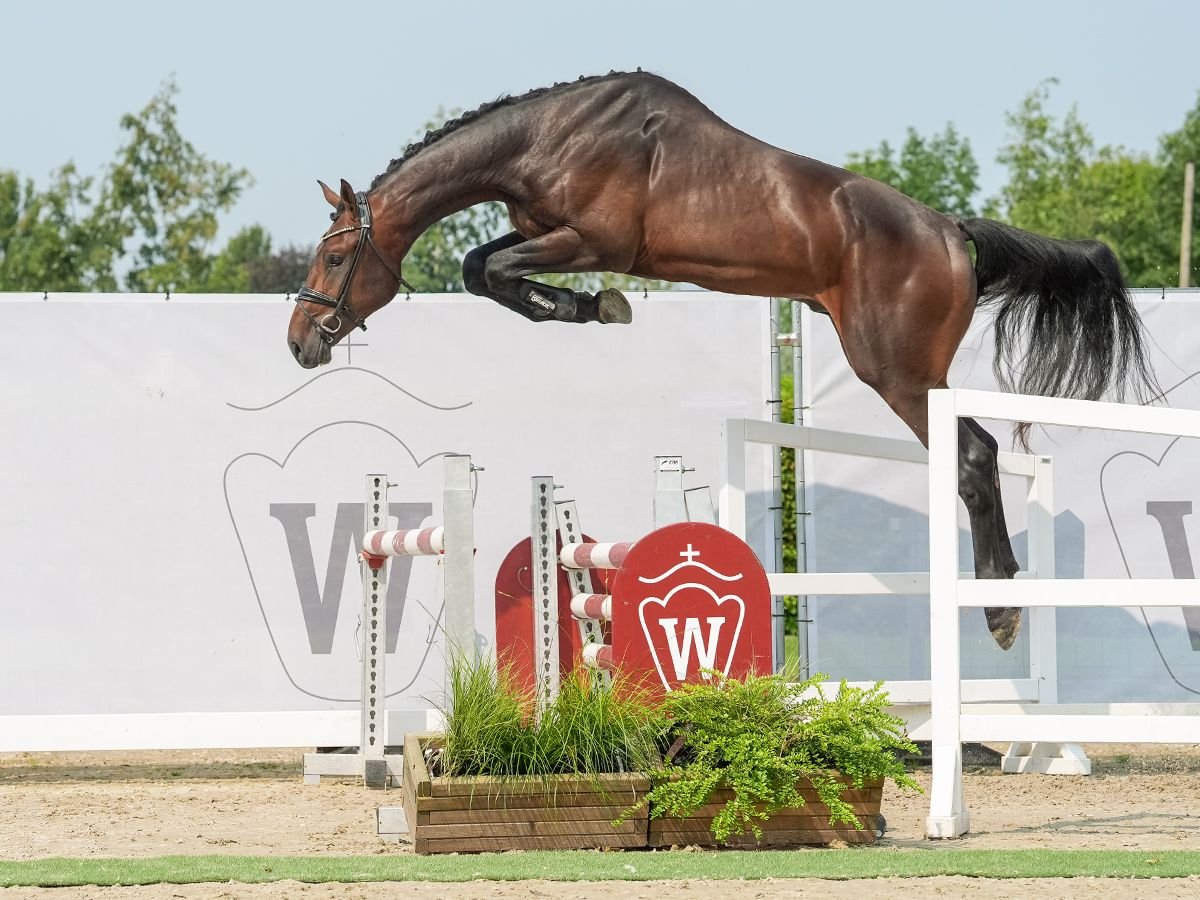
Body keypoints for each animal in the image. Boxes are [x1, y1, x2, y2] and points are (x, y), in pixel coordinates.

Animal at [285, 68, 1156, 648]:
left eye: (336, 257)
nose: (300, 342)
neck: (550, 136)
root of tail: (950, 230)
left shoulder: (594, 240)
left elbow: (494, 270)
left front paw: (591, 305)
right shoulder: (544, 233)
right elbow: (480, 267)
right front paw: (587, 307)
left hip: (900, 371)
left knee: (973, 454)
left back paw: (1001, 606)